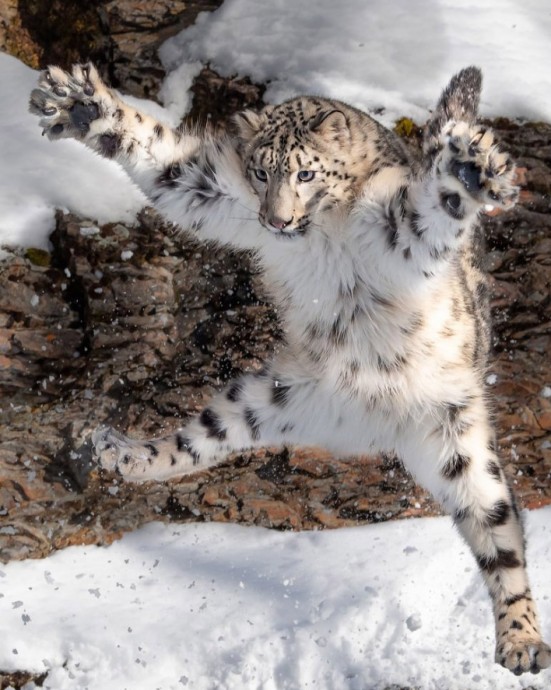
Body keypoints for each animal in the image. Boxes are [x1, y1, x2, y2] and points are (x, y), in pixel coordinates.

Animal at [31, 60, 551, 672]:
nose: (276, 221)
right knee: (192, 444)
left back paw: (521, 641)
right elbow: (166, 162)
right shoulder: (215, 191)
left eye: (306, 173)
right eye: (260, 171)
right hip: (267, 397)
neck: (322, 235)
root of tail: (373, 427)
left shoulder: (399, 228)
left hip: (460, 441)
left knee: (500, 537)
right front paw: (82, 106)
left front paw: (468, 170)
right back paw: (116, 452)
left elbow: (430, 208)